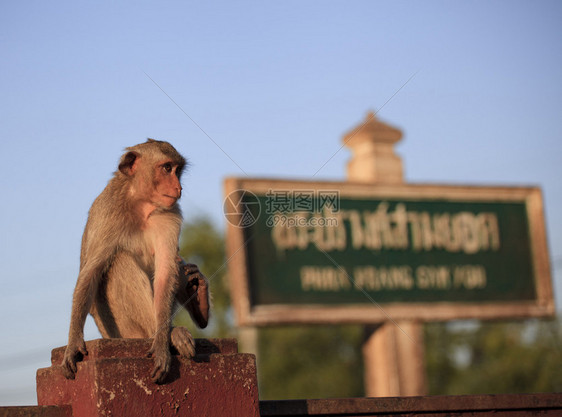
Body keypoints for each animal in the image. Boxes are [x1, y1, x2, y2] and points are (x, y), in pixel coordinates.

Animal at [61, 139, 209, 384]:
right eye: (167, 168)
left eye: (178, 170)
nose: (178, 187)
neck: (141, 204)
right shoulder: (106, 213)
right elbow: (91, 272)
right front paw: (73, 344)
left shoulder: (170, 215)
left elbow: (166, 273)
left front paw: (161, 346)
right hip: (121, 329)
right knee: (119, 260)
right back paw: (170, 331)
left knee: (174, 267)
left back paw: (195, 305)